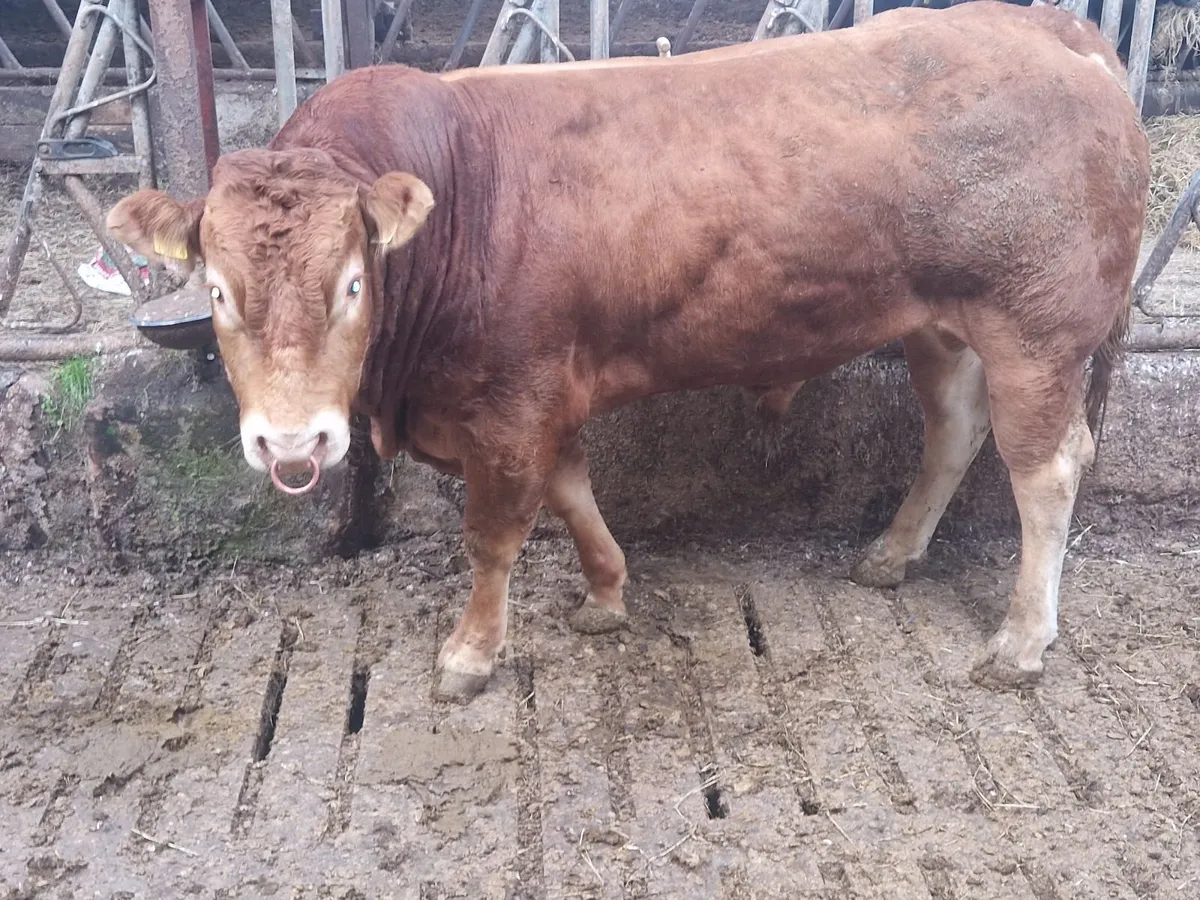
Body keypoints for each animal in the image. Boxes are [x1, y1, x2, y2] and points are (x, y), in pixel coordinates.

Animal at [106, 0, 1150, 703]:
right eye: (217, 290)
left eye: (353, 283)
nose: (293, 446)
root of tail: (1048, 27)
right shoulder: (543, 395)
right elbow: (573, 493)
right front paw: (607, 593)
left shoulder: (509, 405)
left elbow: (495, 534)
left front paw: (470, 655)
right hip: (943, 323)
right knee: (954, 434)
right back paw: (891, 556)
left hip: (1036, 330)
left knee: (1048, 470)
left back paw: (1020, 642)